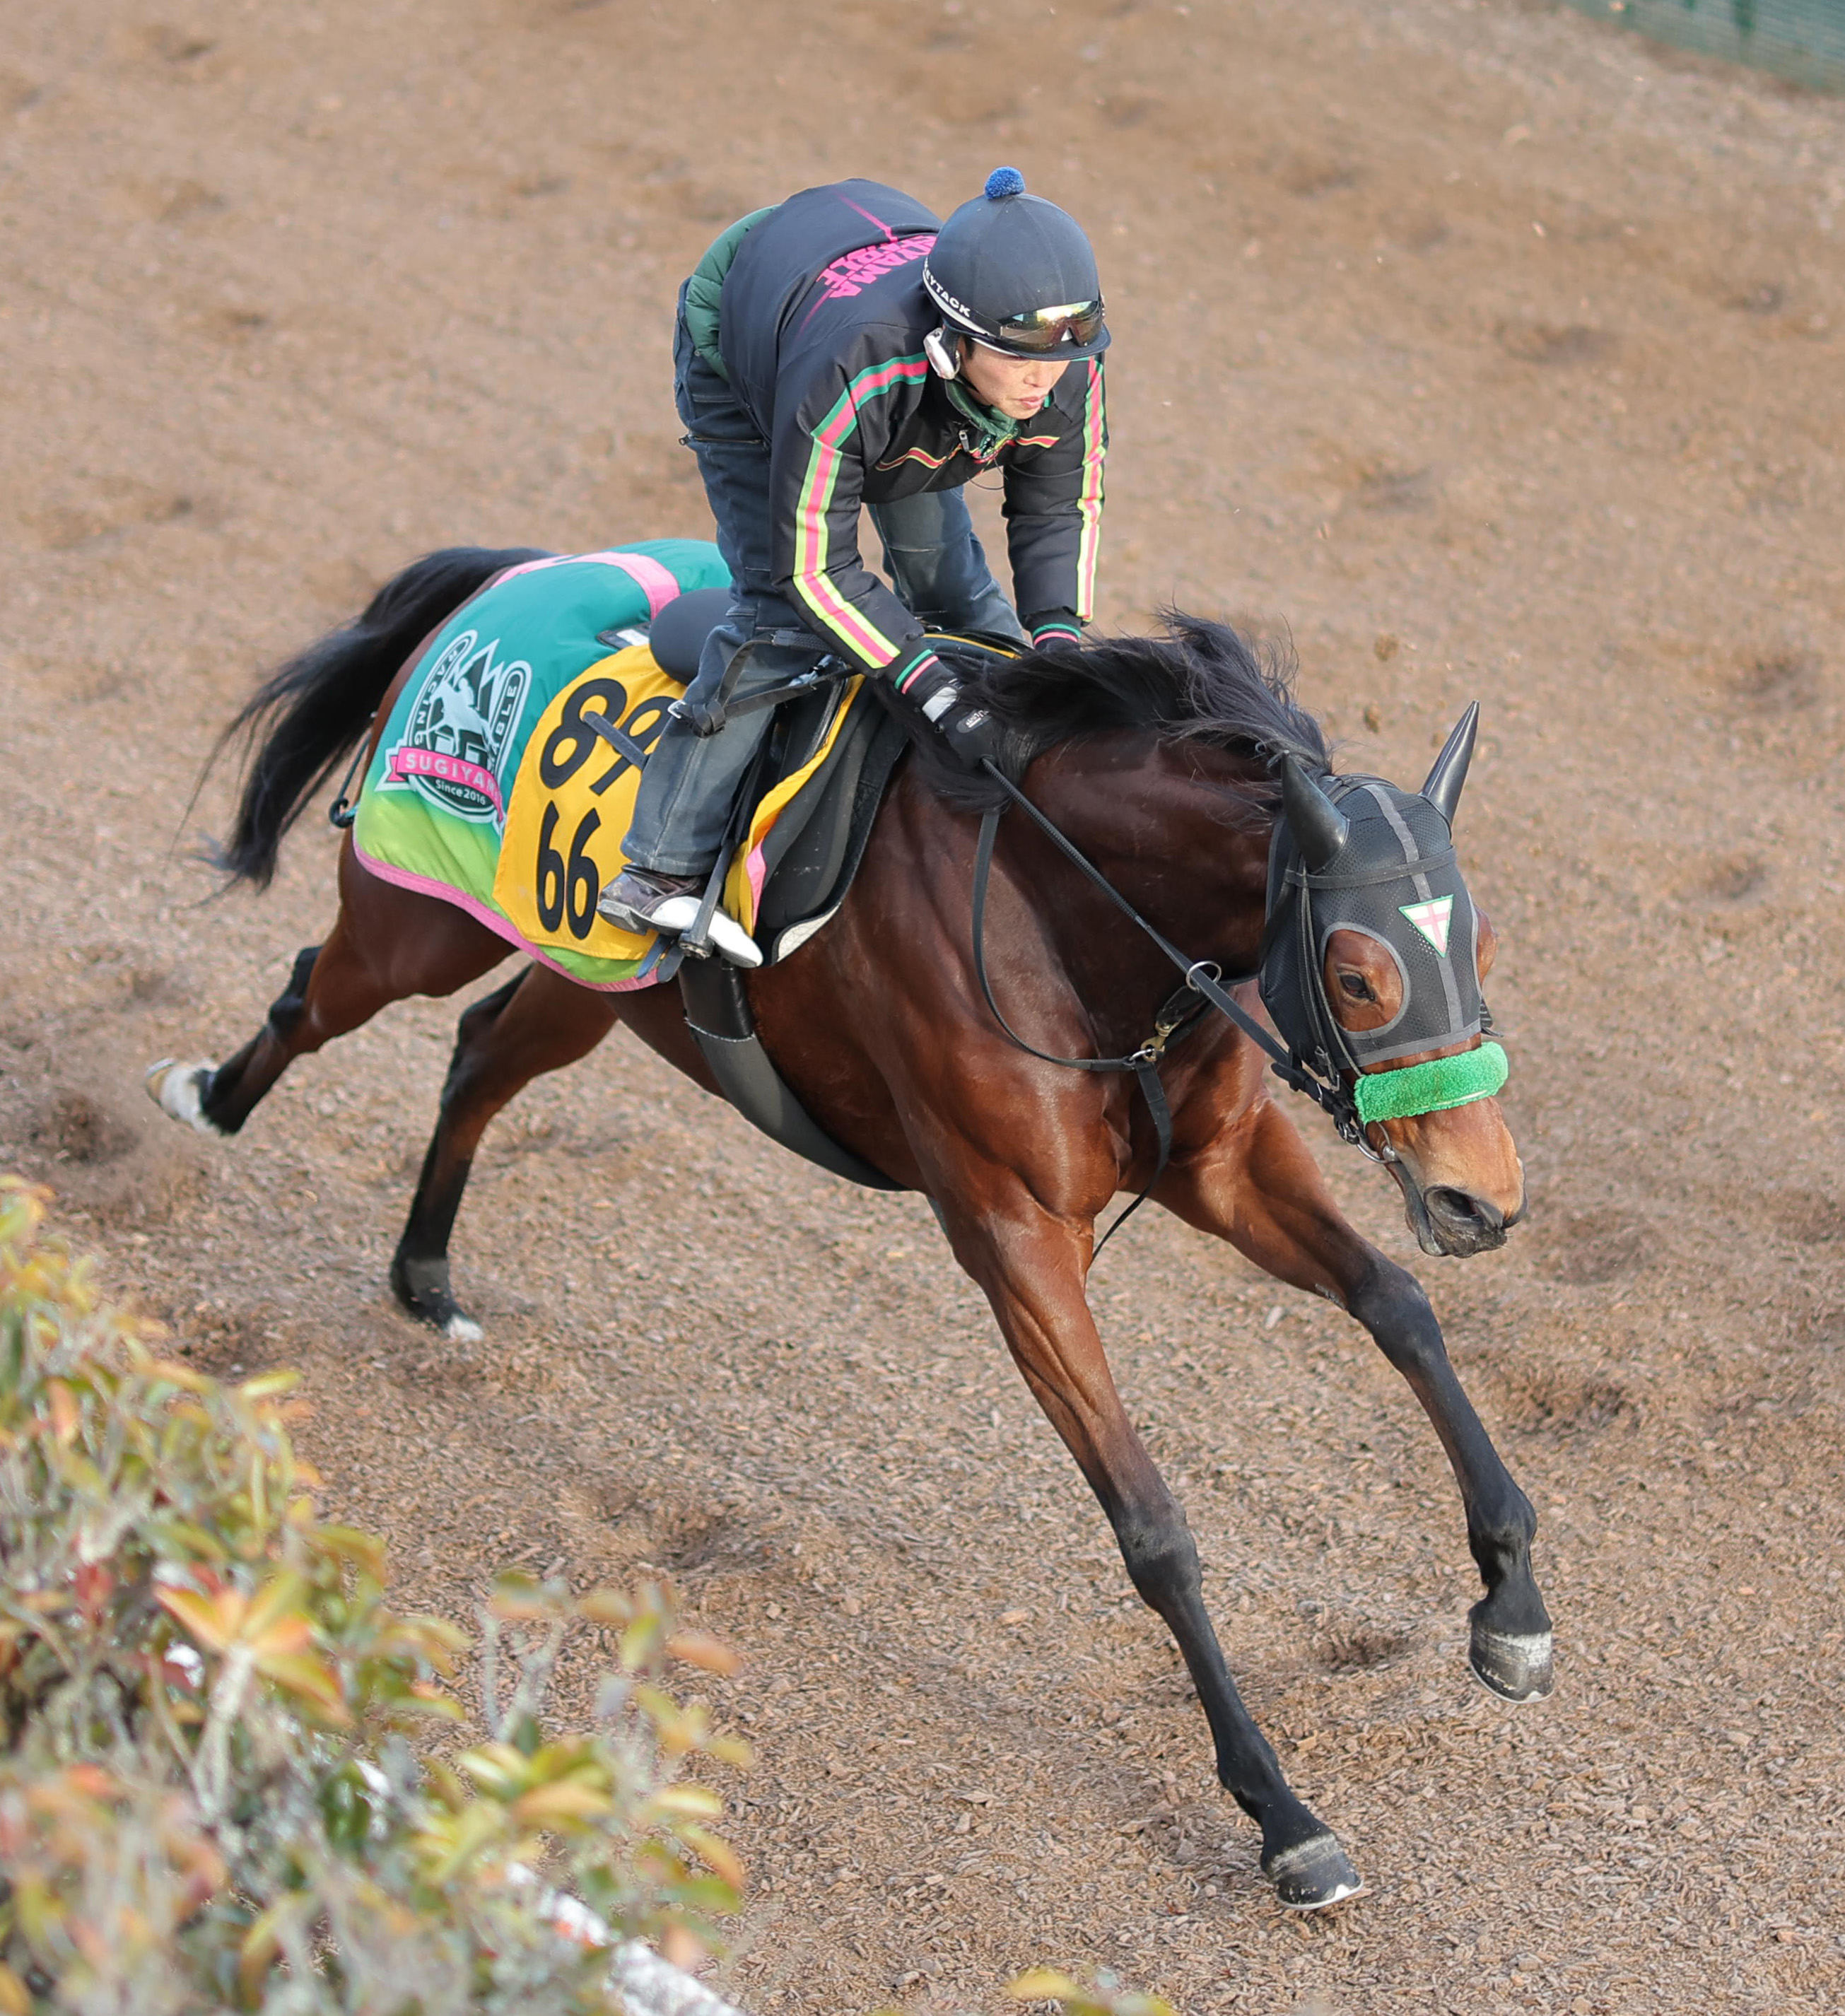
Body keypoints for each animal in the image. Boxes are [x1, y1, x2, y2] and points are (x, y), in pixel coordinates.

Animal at [151, 547, 1553, 1909]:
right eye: (1360, 973)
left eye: (1481, 943)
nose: (1481, 1199)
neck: (1068, 901)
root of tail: (508, 568)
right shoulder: (1013, 1234)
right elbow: (1154, 1528)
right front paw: (1283, 1817)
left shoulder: (1222, 1165)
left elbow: (1397, 1307)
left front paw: (1512, 1605)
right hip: (419, 920)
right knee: (315, 995)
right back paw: (208, 1100)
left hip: (589, 976)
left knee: (483, 1054)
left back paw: (427, 1273)